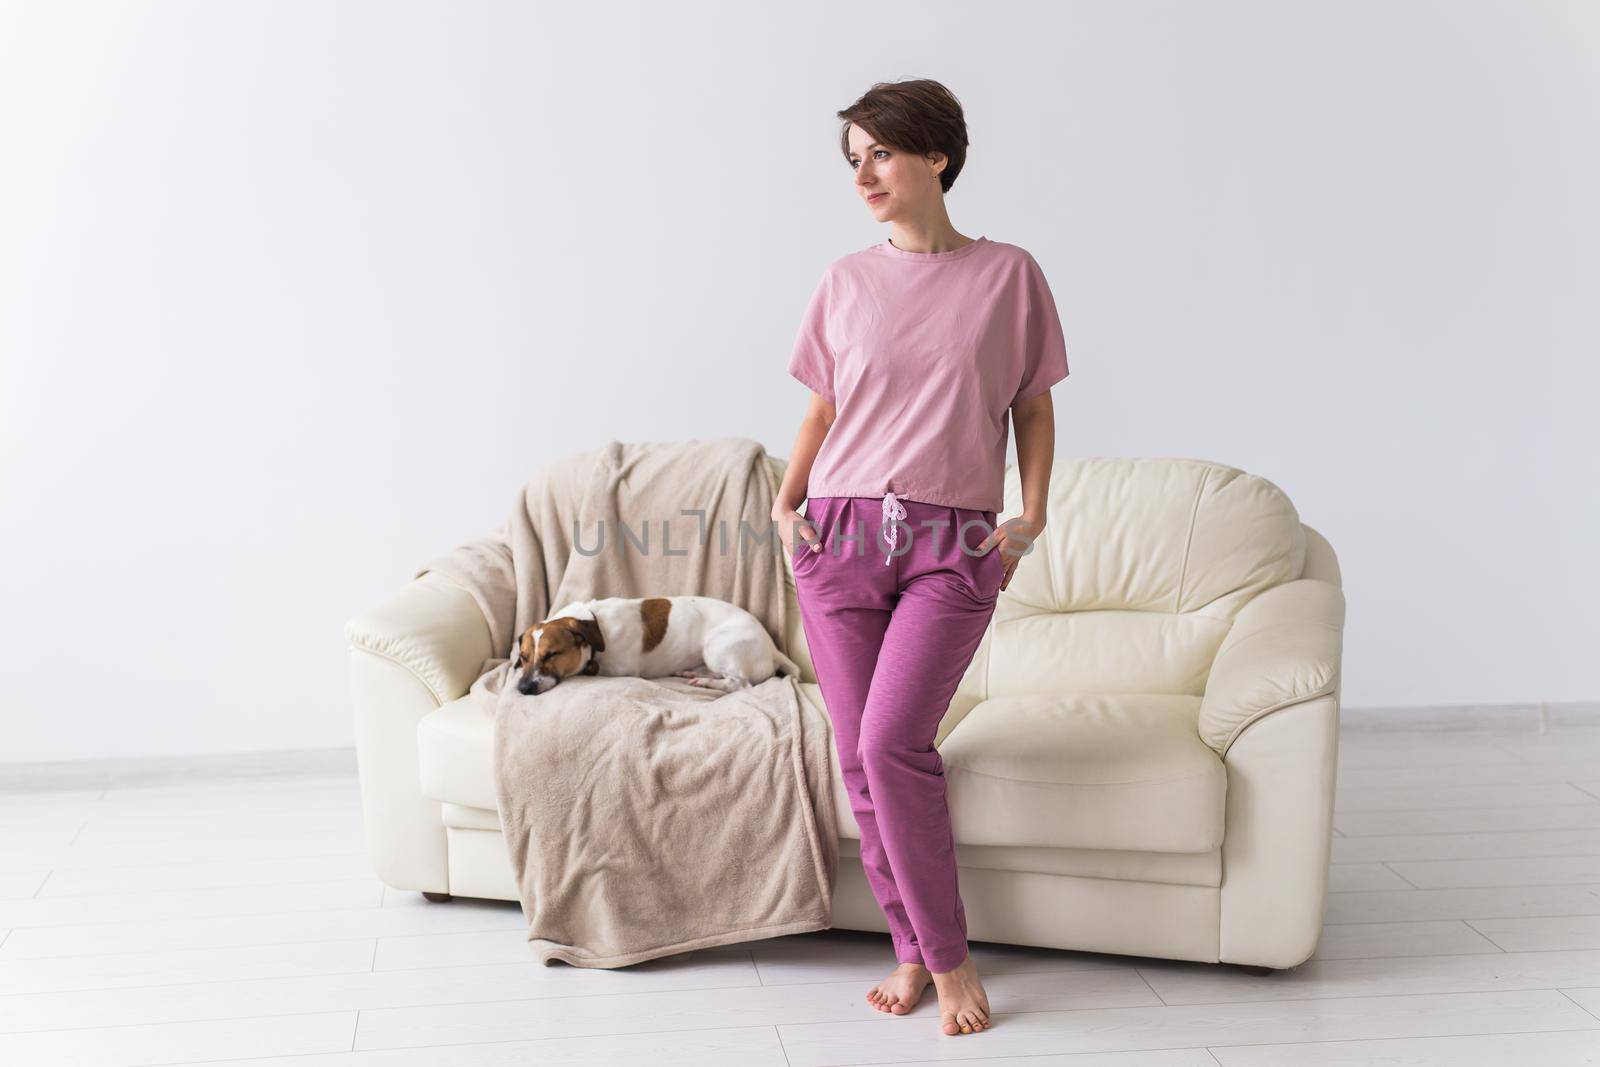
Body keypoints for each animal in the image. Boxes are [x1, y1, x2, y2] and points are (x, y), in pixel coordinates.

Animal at [518, 598, 800, 697]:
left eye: (551, 654)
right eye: (522, 657)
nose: (522, 688)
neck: (594, 622)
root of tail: (772, 648)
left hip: (716, 647)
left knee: (739, 684)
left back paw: (707, 682)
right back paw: (695, 672)